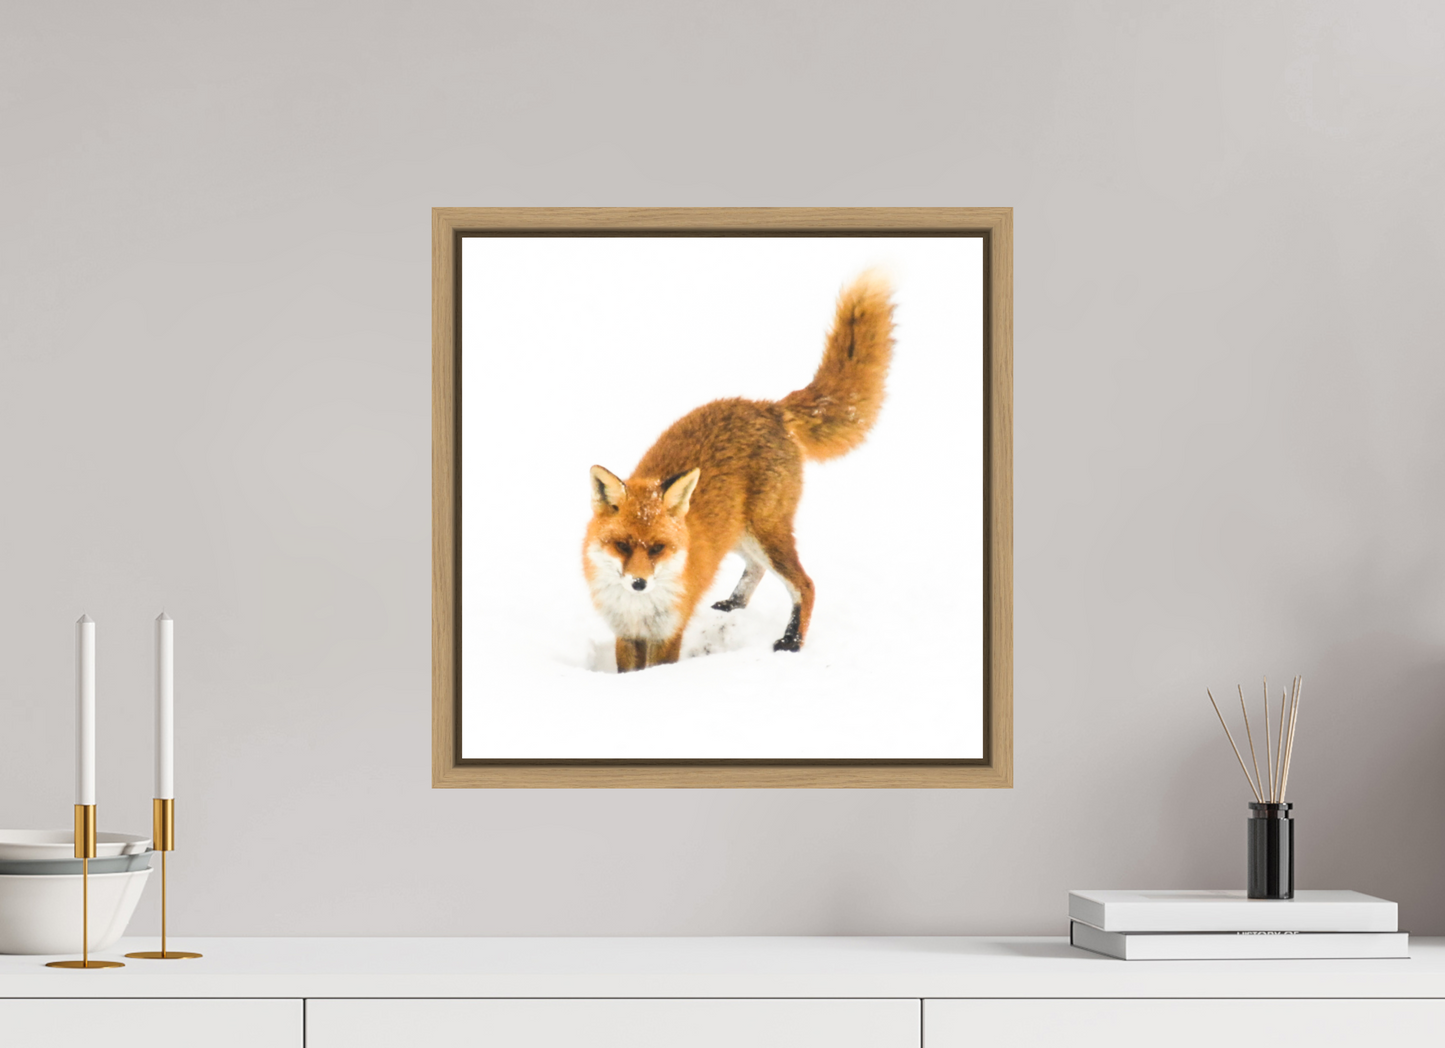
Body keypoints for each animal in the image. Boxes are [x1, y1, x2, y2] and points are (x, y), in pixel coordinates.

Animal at [583, 271, 895, 672]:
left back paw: (791, 641)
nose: (639, 582)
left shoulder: (669, 631)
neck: (640, 605)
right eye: (622, 545)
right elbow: (628, 668)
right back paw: (732, 605)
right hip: (739, 534)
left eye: (657, 548)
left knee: (805, 584)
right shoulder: (626, 631)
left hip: (766, 532)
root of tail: (770, 407)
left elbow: (660, 667)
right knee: (757, 569)